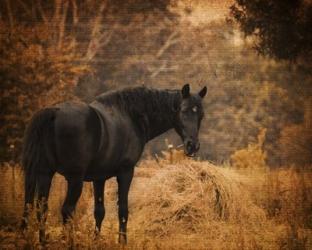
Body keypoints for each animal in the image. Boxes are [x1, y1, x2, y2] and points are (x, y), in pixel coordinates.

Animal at [22, 83, 207, 243]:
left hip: (44, 174)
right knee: (67, 210)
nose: (193, 146)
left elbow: (99, 211)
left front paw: (96, 240)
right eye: (183, 110)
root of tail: (54, 111)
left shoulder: (98, 178)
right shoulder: (126, 172)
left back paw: (43, 241)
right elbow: (123, 210)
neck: (132, 116)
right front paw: (122, 242)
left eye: (201, 115)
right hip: (74, 178)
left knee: (40, 208)